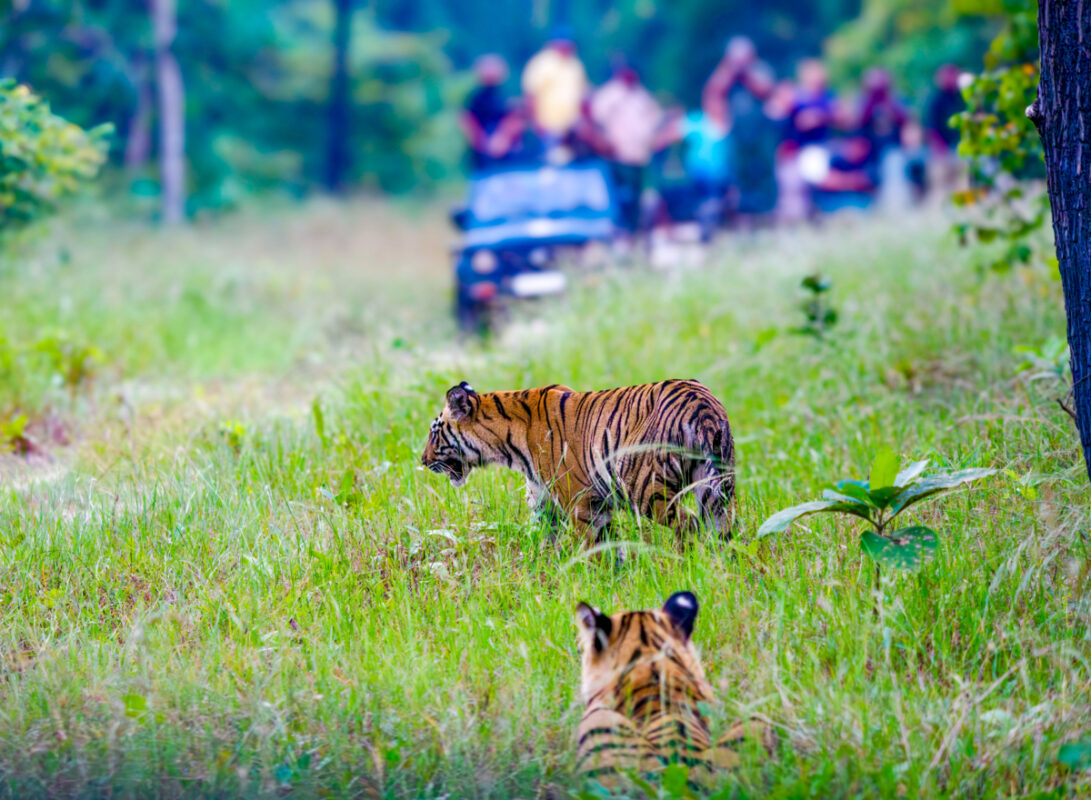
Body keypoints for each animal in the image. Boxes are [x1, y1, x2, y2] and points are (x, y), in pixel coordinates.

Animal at [421, 379, 737, 543]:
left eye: (434, 432)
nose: (423, 461)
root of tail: (702, 404)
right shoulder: (546, 501)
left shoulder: (581, 503)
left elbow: (594, 547)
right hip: (716, 488)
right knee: (722, 530)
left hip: (644, 489)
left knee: (690, 524)